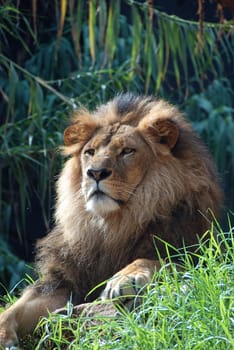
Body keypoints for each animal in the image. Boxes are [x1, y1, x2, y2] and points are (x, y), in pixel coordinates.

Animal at [0, 93, 223, 348]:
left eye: (127, 151)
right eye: (90, 152)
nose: (95, 173)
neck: (112, 225)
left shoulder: (199, 256)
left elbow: (156, 261)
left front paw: (123, 280)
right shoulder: (61, 281)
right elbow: (16, 308)